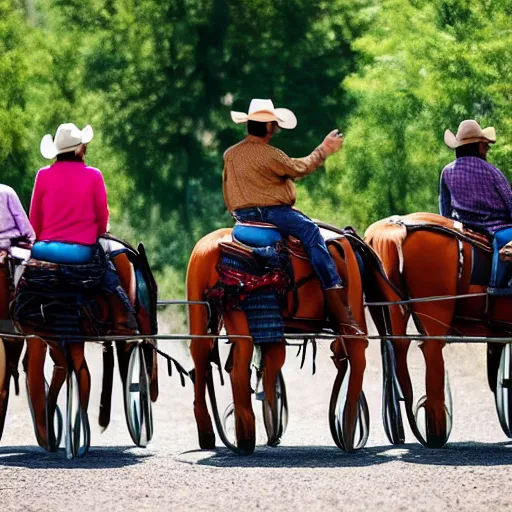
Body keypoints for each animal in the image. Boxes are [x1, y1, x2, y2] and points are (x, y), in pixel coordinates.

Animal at [188, 226, 368, 454]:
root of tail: (209, 248)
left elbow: (272, 363)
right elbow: (356, 352)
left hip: (201, 306)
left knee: (202, 356)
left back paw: (210, 432)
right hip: (237, 310)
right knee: (238, 365)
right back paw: (246, 436)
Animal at [366, 212, 510, 448]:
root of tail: (398, 227)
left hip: (393, 307)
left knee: (398, 348)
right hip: (434, 311)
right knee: (432, 353)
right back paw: (435, 429)